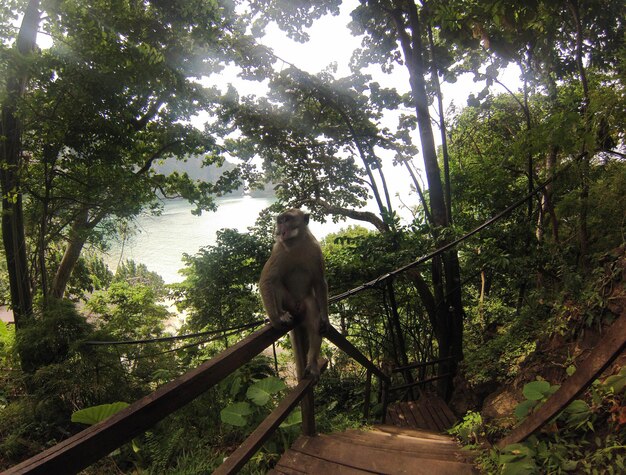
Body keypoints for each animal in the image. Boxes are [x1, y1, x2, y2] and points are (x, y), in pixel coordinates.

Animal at [258, 208, 330, 384]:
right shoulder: (278, 250)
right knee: (276, 283)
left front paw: (325, 318)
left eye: (287, 219)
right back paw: (282, 314)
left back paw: (312, 363)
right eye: (280, 220)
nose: (280, 229)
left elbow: (319, 281)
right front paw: (275, 319)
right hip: (288, 302)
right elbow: (267, 281)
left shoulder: (315, 248)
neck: (296, 243)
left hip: (304, 303)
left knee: (313, 316)